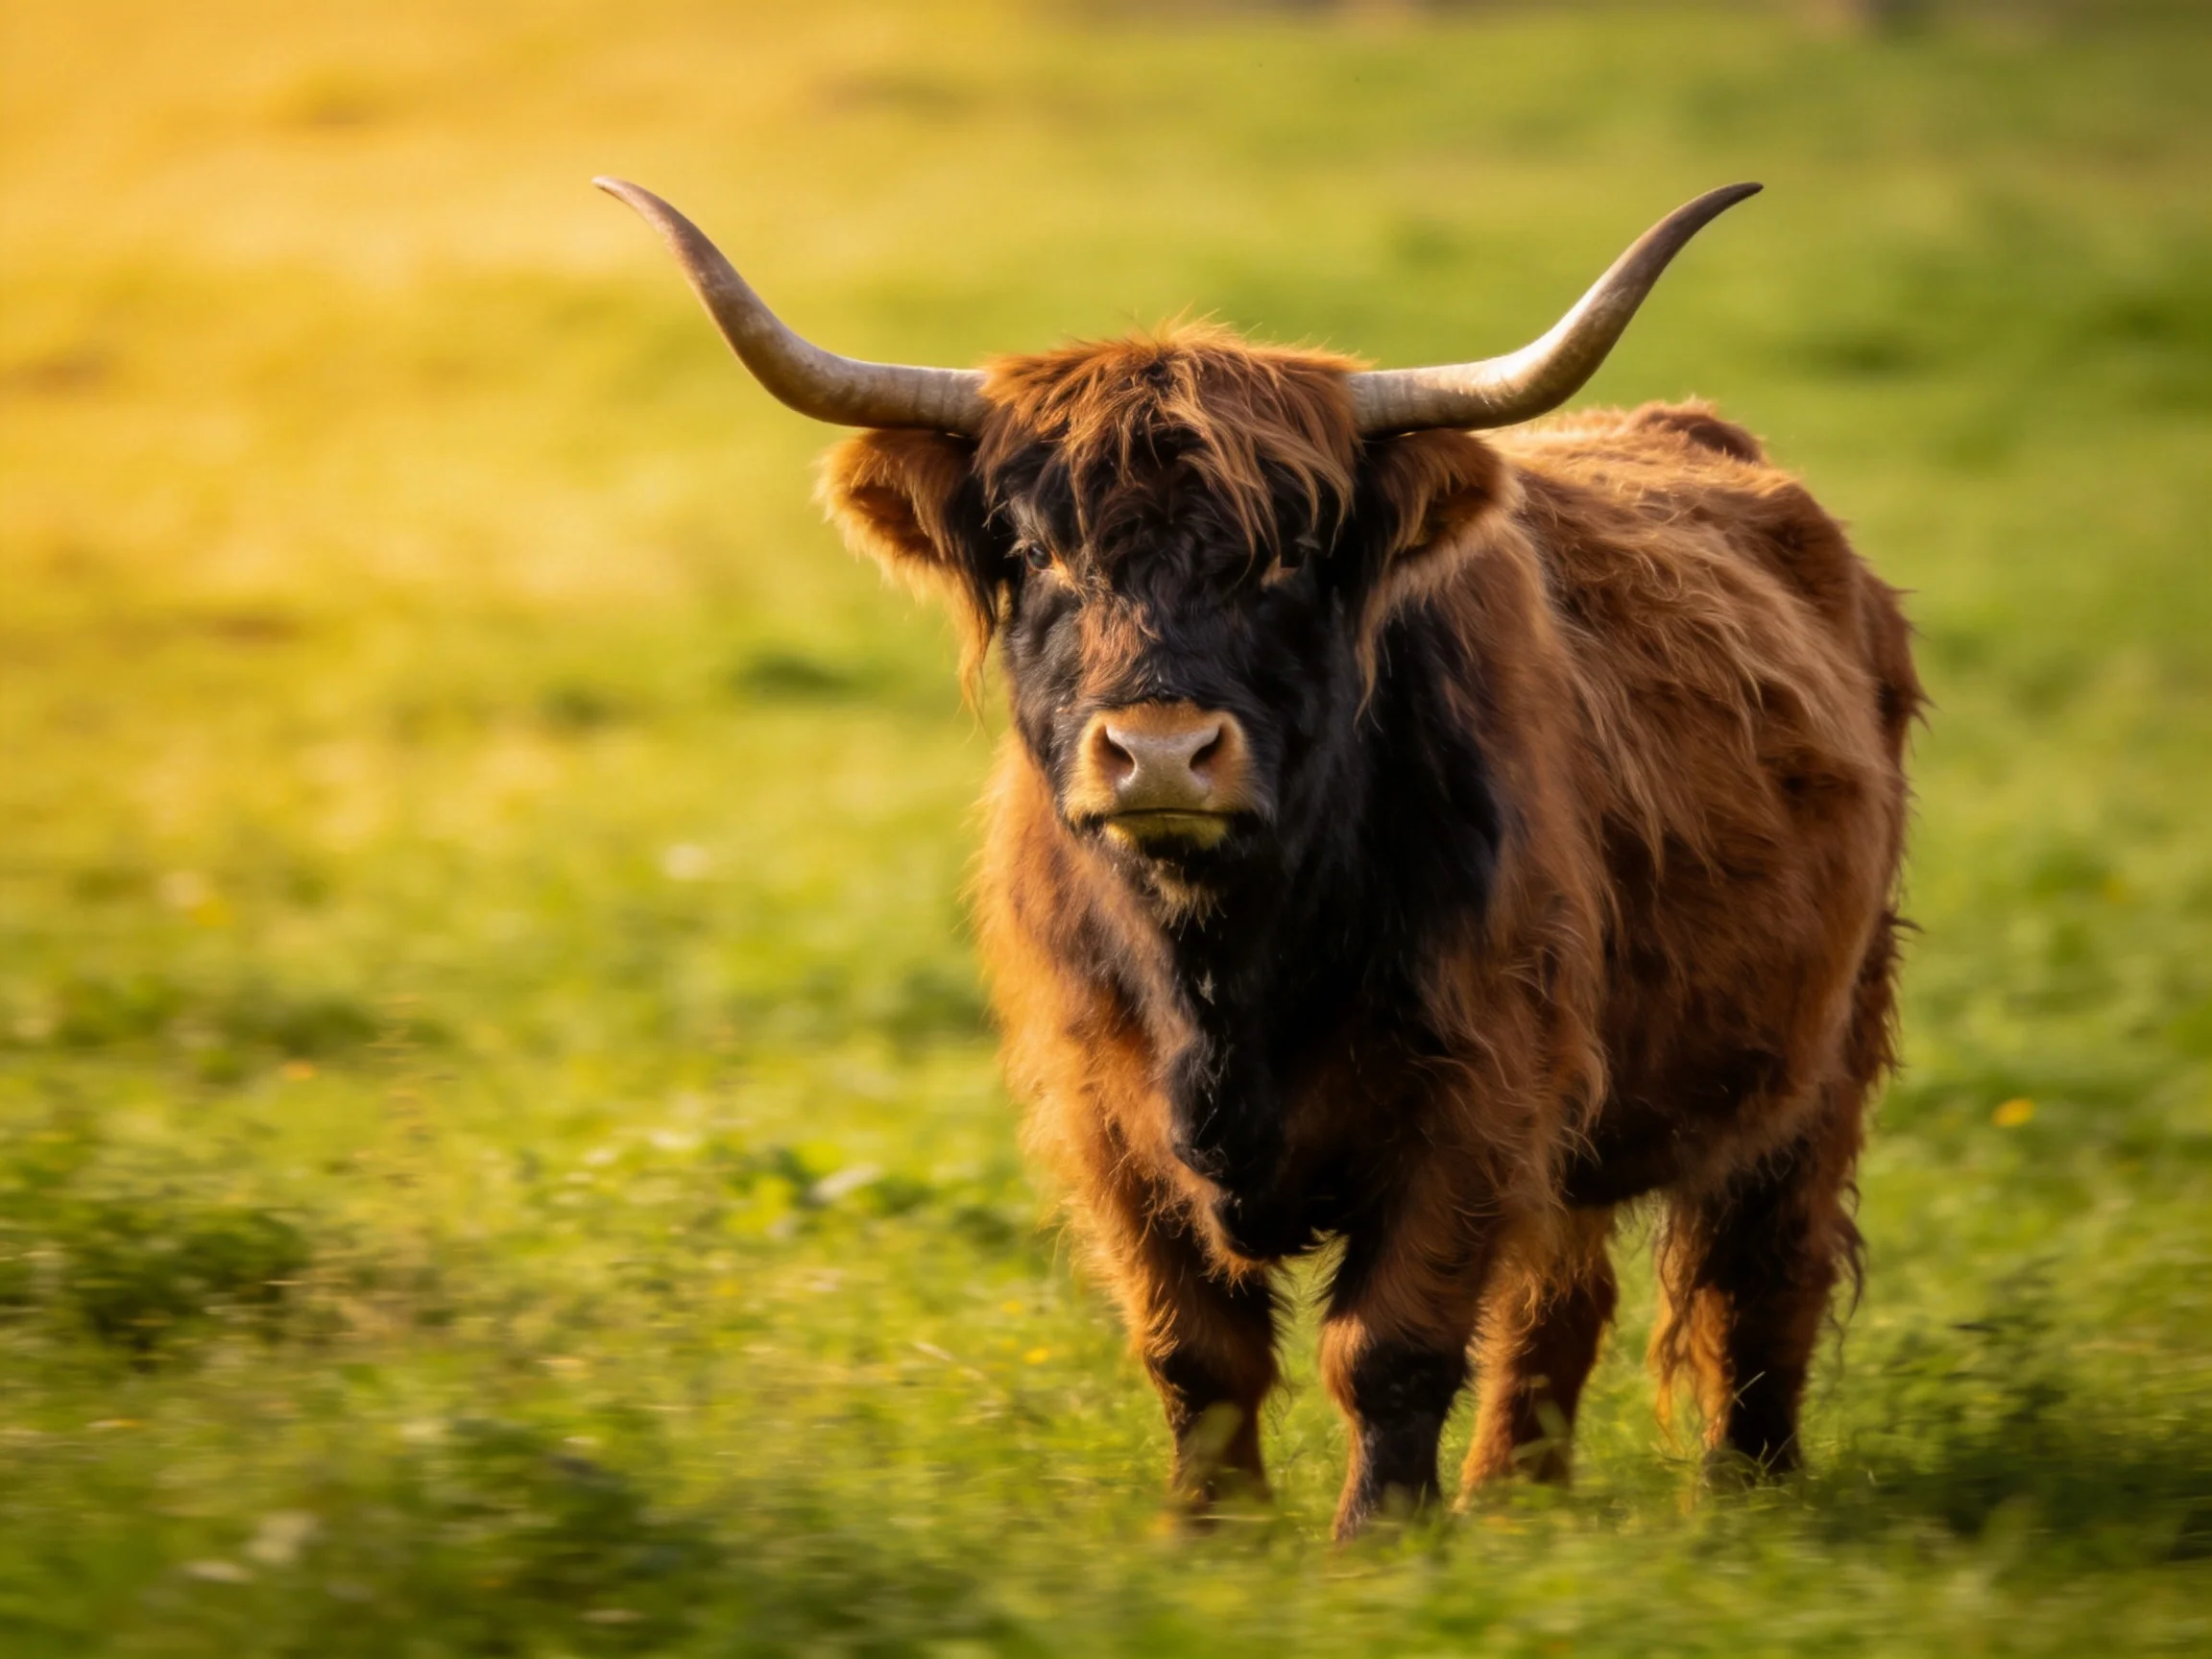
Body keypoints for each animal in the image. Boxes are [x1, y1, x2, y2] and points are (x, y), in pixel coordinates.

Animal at [599, 177, 1921, 1539]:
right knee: (1561, 1290)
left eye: (1288, 555)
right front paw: (1209, 1533)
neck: (1224, 967)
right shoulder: (1104, 1105)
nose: (1161, 752)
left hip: (1825, 1042)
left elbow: (1390, 1345)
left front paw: (1379, 1541)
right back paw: (1516, 1504)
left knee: (1760, 1269)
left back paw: (1747, 1497)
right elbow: (1197, 1349)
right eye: (1039, 553)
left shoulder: (1479, 1085)